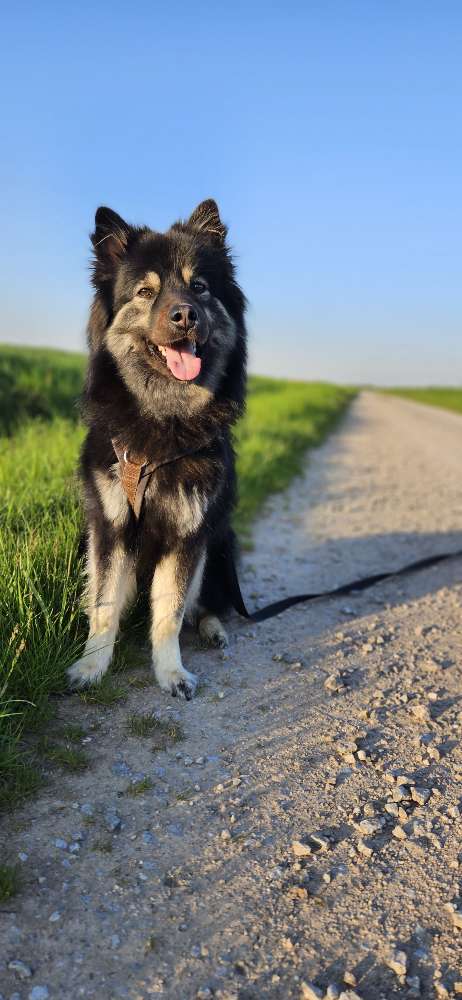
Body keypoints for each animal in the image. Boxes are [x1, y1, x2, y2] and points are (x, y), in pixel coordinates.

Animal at [67, 199, 247, 700]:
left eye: (199, 287)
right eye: (146, 292)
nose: (185, 315)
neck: (162, 421)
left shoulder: (188, 534)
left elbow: (168, 612)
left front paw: (171, 673)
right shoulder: (110, 527)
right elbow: (104, 606)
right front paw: (91, 667)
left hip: (219, 543)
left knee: (203, 606)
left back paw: (213, 629)